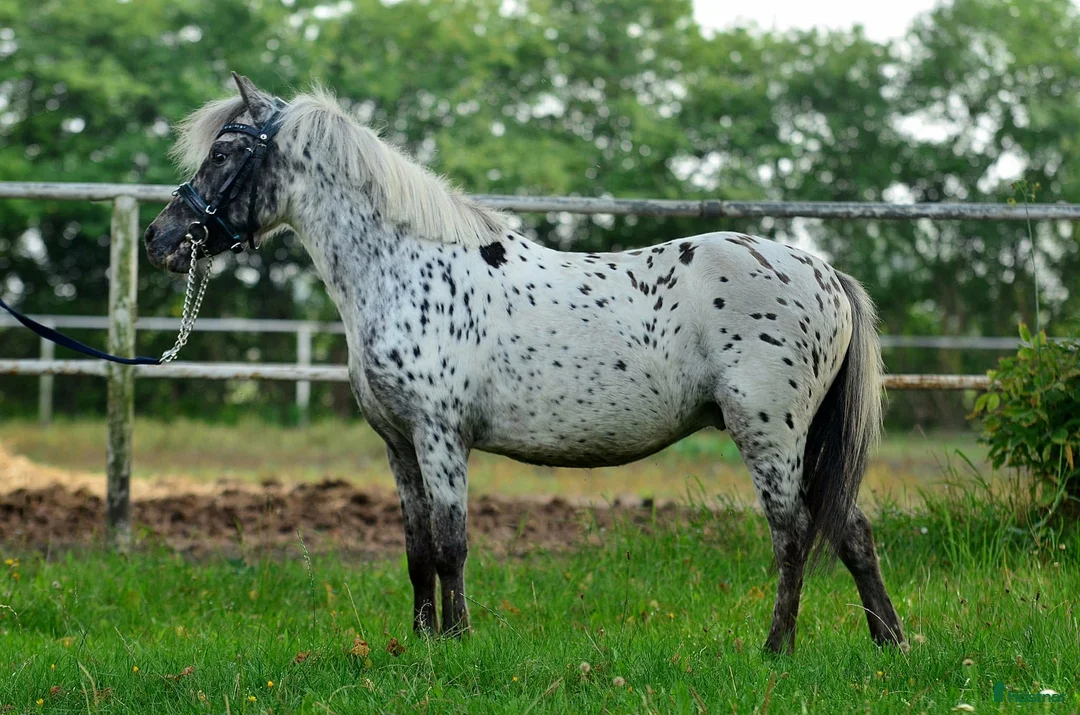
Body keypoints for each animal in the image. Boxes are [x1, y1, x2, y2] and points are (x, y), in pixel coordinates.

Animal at [144, 73, 905, 654]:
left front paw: (458, 643)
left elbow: (451, 544)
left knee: (794, 533)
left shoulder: (441, 436)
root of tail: (826, 274)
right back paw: (888, 643)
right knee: (851, 531)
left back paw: (776, 648)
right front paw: (420, 642)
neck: (403, 267)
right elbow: (417, 549)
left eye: (225, 153)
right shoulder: (398, 443)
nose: (161, 238)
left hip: (770, 433)